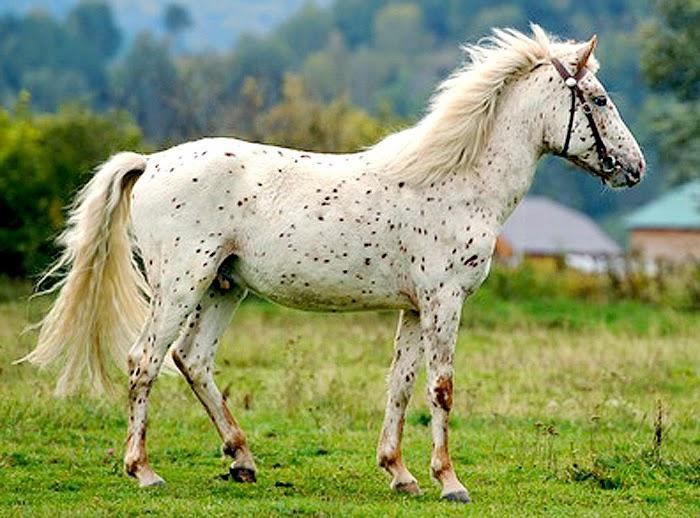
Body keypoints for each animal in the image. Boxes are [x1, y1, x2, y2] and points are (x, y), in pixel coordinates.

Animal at [19, 25, 644, 503]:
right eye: (599, 98)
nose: (635, 168)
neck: (457, 180)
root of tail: (150, 162)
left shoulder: (414, 309)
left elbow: (400, 385)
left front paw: (400, 473)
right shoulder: (443, 301)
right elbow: (441, 388)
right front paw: (449, 482)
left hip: (224, 287)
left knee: (191, 361)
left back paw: (243, 460)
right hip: (180, 285)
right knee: (144, 361)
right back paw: (144, 471)